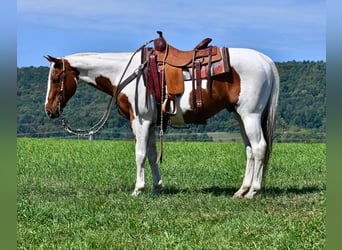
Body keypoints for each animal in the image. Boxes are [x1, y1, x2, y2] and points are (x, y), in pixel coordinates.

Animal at [44, 32, 280, 199]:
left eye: (55, 79)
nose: (49, 110)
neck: (127, 72)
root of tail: (265, 60)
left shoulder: (139, 121)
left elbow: (139, 154)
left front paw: (138, 189)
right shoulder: (149, 123)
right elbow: (150, 154)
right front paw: (156, 187)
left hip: (250, 115)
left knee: (259, 147)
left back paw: (253, 191)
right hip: (241, 116)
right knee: (250, 150)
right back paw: (241, 190)